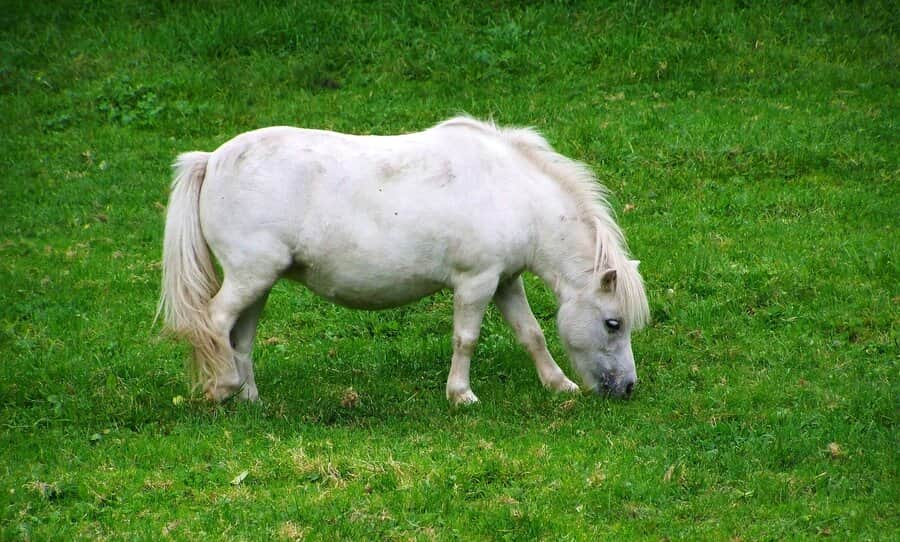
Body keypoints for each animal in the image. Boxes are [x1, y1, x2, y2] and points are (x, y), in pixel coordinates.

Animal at [155, 117, 648, 406]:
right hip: (249, 278)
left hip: (258, 283)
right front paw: (461, 395)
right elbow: (466, 339)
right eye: (613, 323)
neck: (513, 192)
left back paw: (251, 399)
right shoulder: (477, 283)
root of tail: (211, 160)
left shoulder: (506, 282)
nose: (627, 388)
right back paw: (224, 389)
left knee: (240, 337)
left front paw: (558, 384)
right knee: (215, 322)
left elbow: (532, 334)